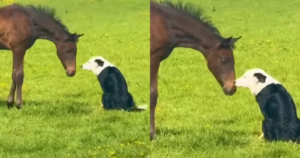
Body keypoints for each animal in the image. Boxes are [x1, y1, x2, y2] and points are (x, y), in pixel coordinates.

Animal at [150, 0, 241, 141]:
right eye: (224, 59)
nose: (232, 88)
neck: (166, 24)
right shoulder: (154, 58)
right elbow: (153, 94)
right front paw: (152, 134)